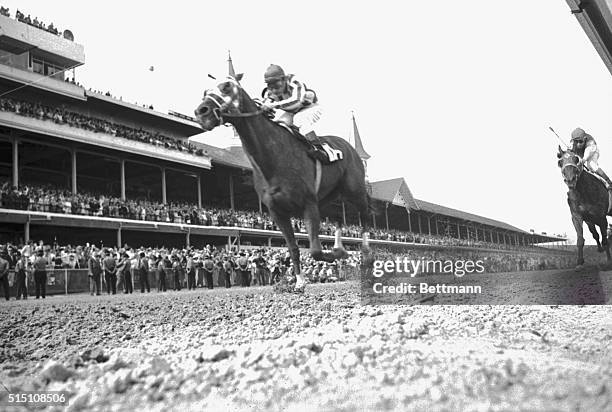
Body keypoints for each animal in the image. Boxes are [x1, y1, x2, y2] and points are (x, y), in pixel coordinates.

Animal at [194, 77, 370, 290]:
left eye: (226, 87)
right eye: (205, 91)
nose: (201, 112)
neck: (273, 158)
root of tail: (350, 148)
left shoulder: (309, 204)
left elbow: (315, 250)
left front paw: (339, 254)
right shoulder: (277, 212)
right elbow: (294, 248)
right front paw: (300, 282)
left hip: (355, 191)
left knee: (365, 216)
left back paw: (367, 253)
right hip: (331, 196)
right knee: (338, 218)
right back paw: (340, 245)